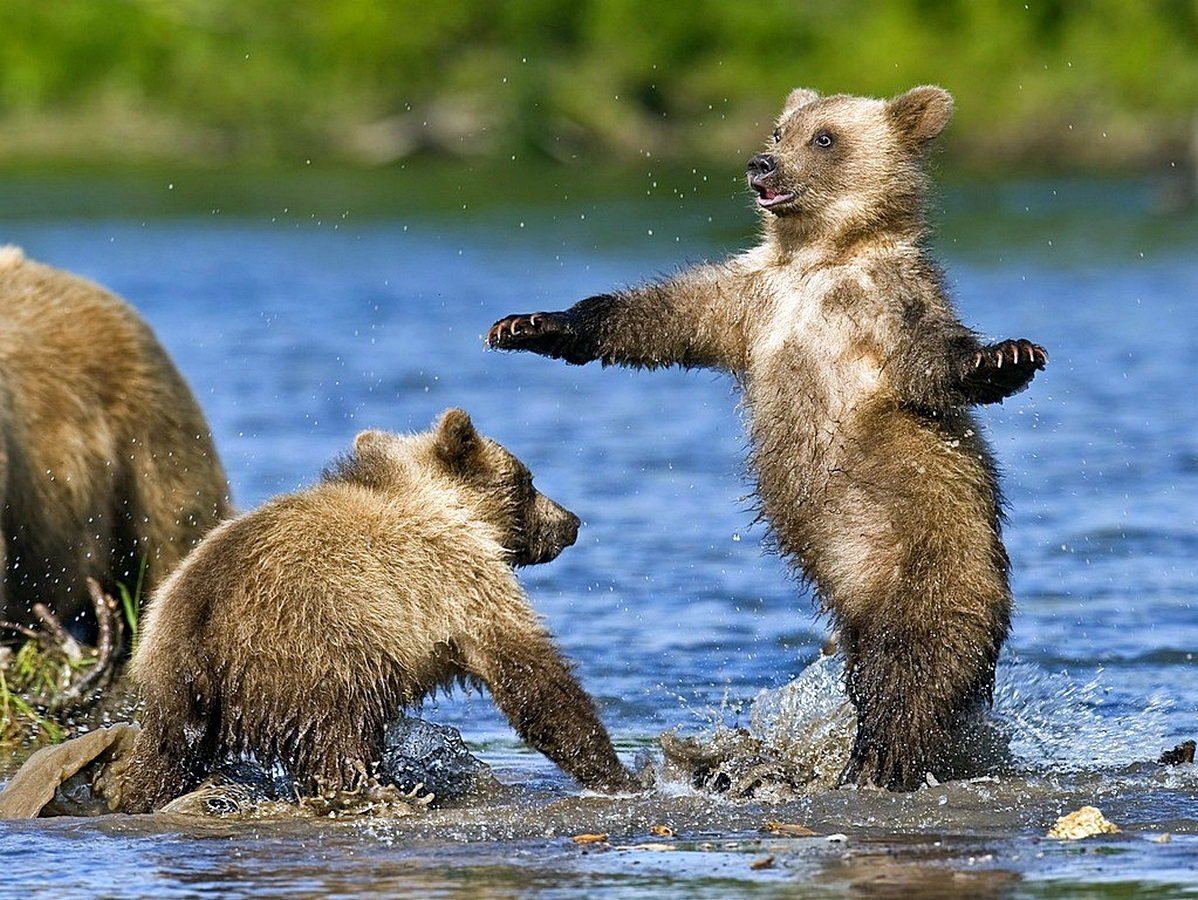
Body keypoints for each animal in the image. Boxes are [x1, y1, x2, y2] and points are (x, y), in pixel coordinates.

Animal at [120, 409, 636, 812]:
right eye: (528, 480)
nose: (571, 522)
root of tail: (194, 634)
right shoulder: (457, 576)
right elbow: (528, 672)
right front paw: (620, 775)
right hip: (316, 653)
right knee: (338, 734)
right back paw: (375, 790)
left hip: (171, 688)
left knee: (164, 756)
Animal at [487, 86, 1047, 790]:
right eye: (781, 130)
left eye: (824, 137)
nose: (761, 164)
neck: (820, 258)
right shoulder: (750, 298)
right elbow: (654, 317)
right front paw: (531, 323)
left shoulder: (884, 306)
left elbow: (934, 361)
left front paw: (1006, 356)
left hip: (931, 556)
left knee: (919, 661)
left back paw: (882, 757)